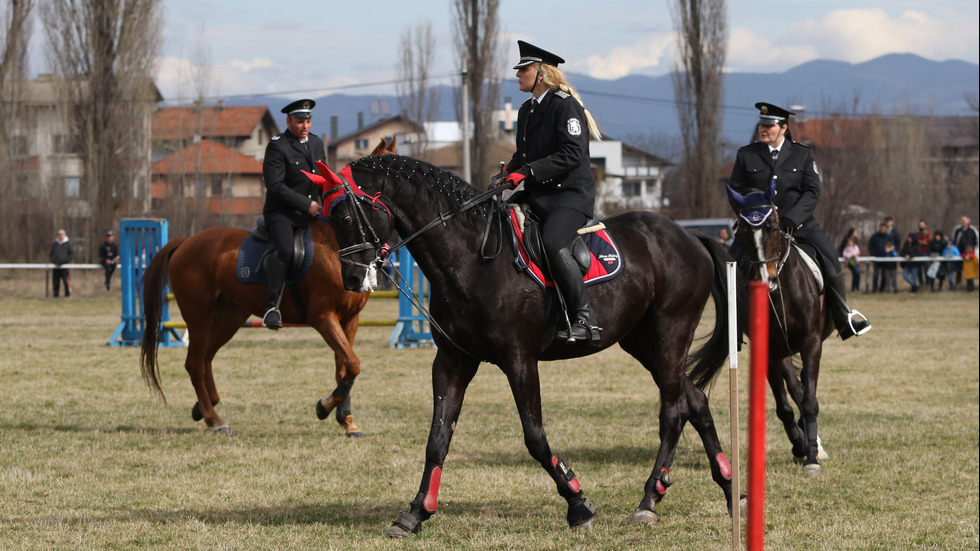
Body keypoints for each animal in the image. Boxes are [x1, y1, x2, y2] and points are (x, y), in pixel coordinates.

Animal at [139, 138, 398, 436]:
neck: (335, 247)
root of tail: (185, 242)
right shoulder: (323, 318)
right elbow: (352, 363)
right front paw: (324, 407)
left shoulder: (350, 319)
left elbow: (344, 368)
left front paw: (346, 420)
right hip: (199, 315)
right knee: (195, 363)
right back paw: (214, 420)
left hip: (229, 316)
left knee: (205, 359)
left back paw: (204, 407)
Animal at [318, 155, 740, 536]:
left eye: (347, 217)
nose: (352, 279)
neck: (472, 259)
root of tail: (688, 236)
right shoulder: (453, 360)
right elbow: (437, 438)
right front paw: (415, 513)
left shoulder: (519, 359)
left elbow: (534, 436)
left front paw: (578, 504)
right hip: (642, 342)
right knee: (695, 399)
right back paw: (728, 486)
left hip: (670, 334)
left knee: (672, 410)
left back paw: (649, 500)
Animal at [728, 183, 828, 476]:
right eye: (743, 230)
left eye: (773, 227)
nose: (766, 279)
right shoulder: (771, 351)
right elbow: (784, 406)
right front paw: (800, 446)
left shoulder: (811, 343)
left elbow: (809, 400)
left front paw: (812, 459)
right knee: (795, 389)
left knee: (803, 391)